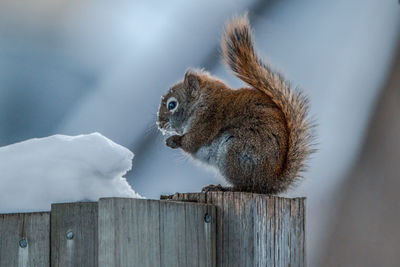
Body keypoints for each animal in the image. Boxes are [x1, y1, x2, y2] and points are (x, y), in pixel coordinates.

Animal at [155, 14, 314, 195]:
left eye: (172, 105)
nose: (159, 124)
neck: (201, 102)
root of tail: (270, 182)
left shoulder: (208, 119)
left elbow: (192, 141)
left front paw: (174, 140)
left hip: (235, 152)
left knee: (246, 187)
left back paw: (222, 187)